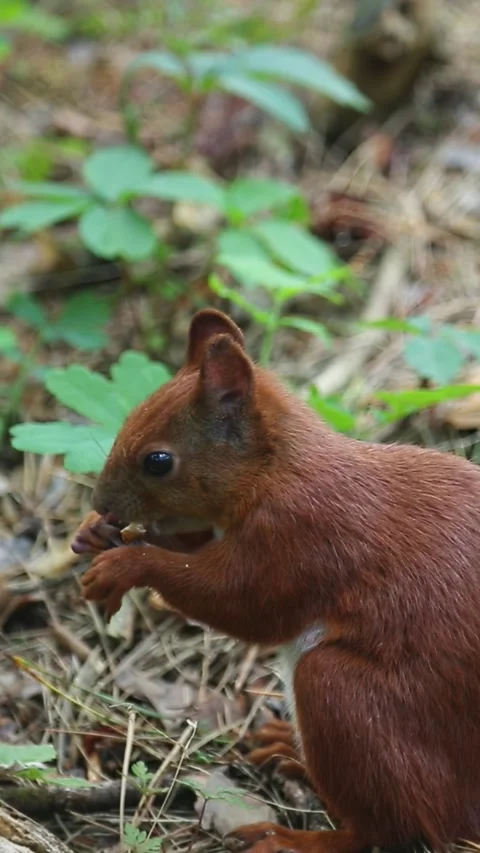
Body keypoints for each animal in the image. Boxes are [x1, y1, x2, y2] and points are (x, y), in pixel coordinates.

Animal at [74, 308, 480, 853]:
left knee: (386, 829)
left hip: (345, 696)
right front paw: (94, 533)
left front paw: (126, 565)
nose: (102, 505)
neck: (275, 470)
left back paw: (292, 837)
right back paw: (288, 748)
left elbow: (241, 603)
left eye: (158, 462)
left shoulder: (299, 536)